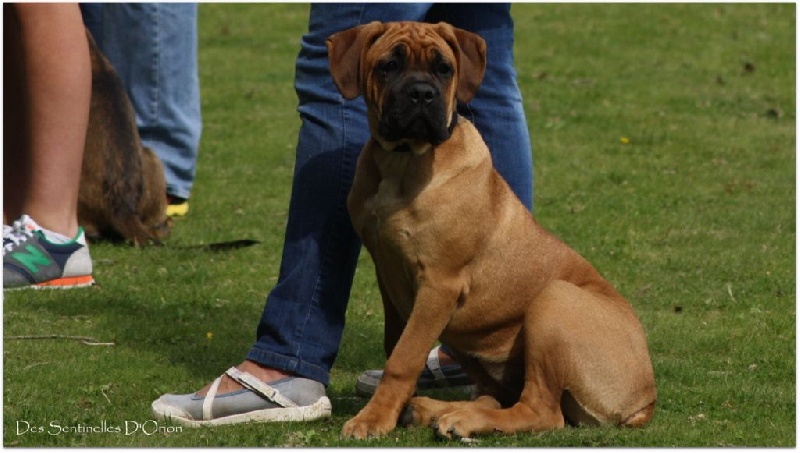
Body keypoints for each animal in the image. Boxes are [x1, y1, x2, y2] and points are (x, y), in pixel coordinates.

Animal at [326, 22, 656, 438]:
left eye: (444, 68)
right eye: (388, 66)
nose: (422, 94)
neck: (402, 162)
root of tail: (646, 399)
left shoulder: (439, 284)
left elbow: (403, 358)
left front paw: (373, 418)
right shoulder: (389, 277)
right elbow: (395, 345)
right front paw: (393, 408)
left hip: (555, 300)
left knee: (541, 411)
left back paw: (461, 418)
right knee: (494, 396)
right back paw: (434, 409)